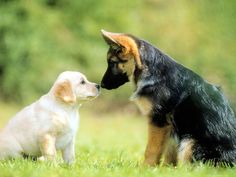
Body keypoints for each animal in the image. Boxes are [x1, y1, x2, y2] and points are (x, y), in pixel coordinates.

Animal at [100, 29, 236, 166]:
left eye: (112, 63)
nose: (102, 85)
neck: (153, 72)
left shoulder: (159, 121)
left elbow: (151, 150)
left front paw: (146, 168)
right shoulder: (170, 129)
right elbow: (169, 153)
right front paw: (165, 168)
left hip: (189, 141)